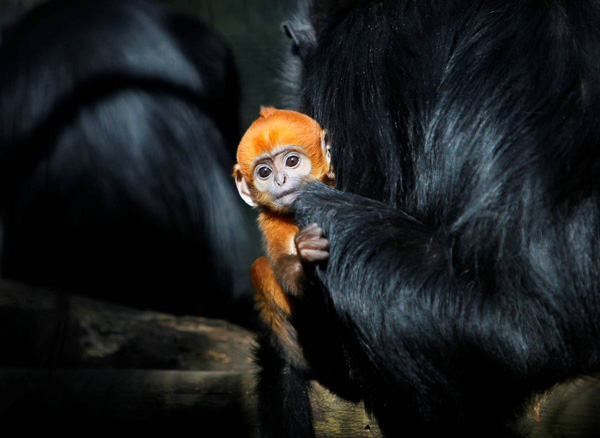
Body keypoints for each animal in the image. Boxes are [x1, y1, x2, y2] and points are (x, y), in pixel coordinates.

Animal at [233, 108, 336, 368]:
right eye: (265, 172)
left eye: (291, 161)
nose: (280, 180)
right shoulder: (271, 222)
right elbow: (283, 267)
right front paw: (306, 260)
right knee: (259, 267)